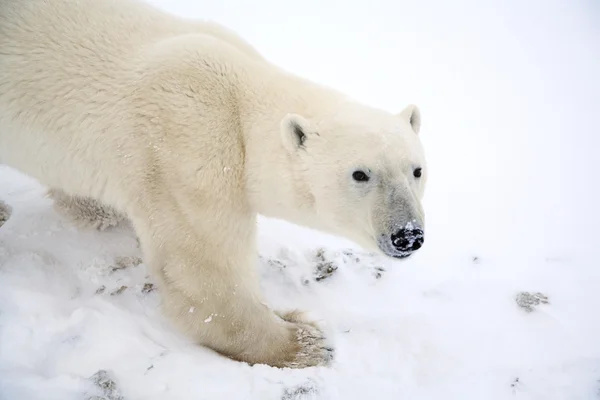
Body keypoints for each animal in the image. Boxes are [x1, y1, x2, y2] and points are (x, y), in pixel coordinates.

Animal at [2, 0, 428, 368]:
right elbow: (203, 267)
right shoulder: (185, 144)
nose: (408, 235)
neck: (237, 90)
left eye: (417, 170)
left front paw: (92, 206)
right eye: (360, 174)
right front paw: (303, 341)